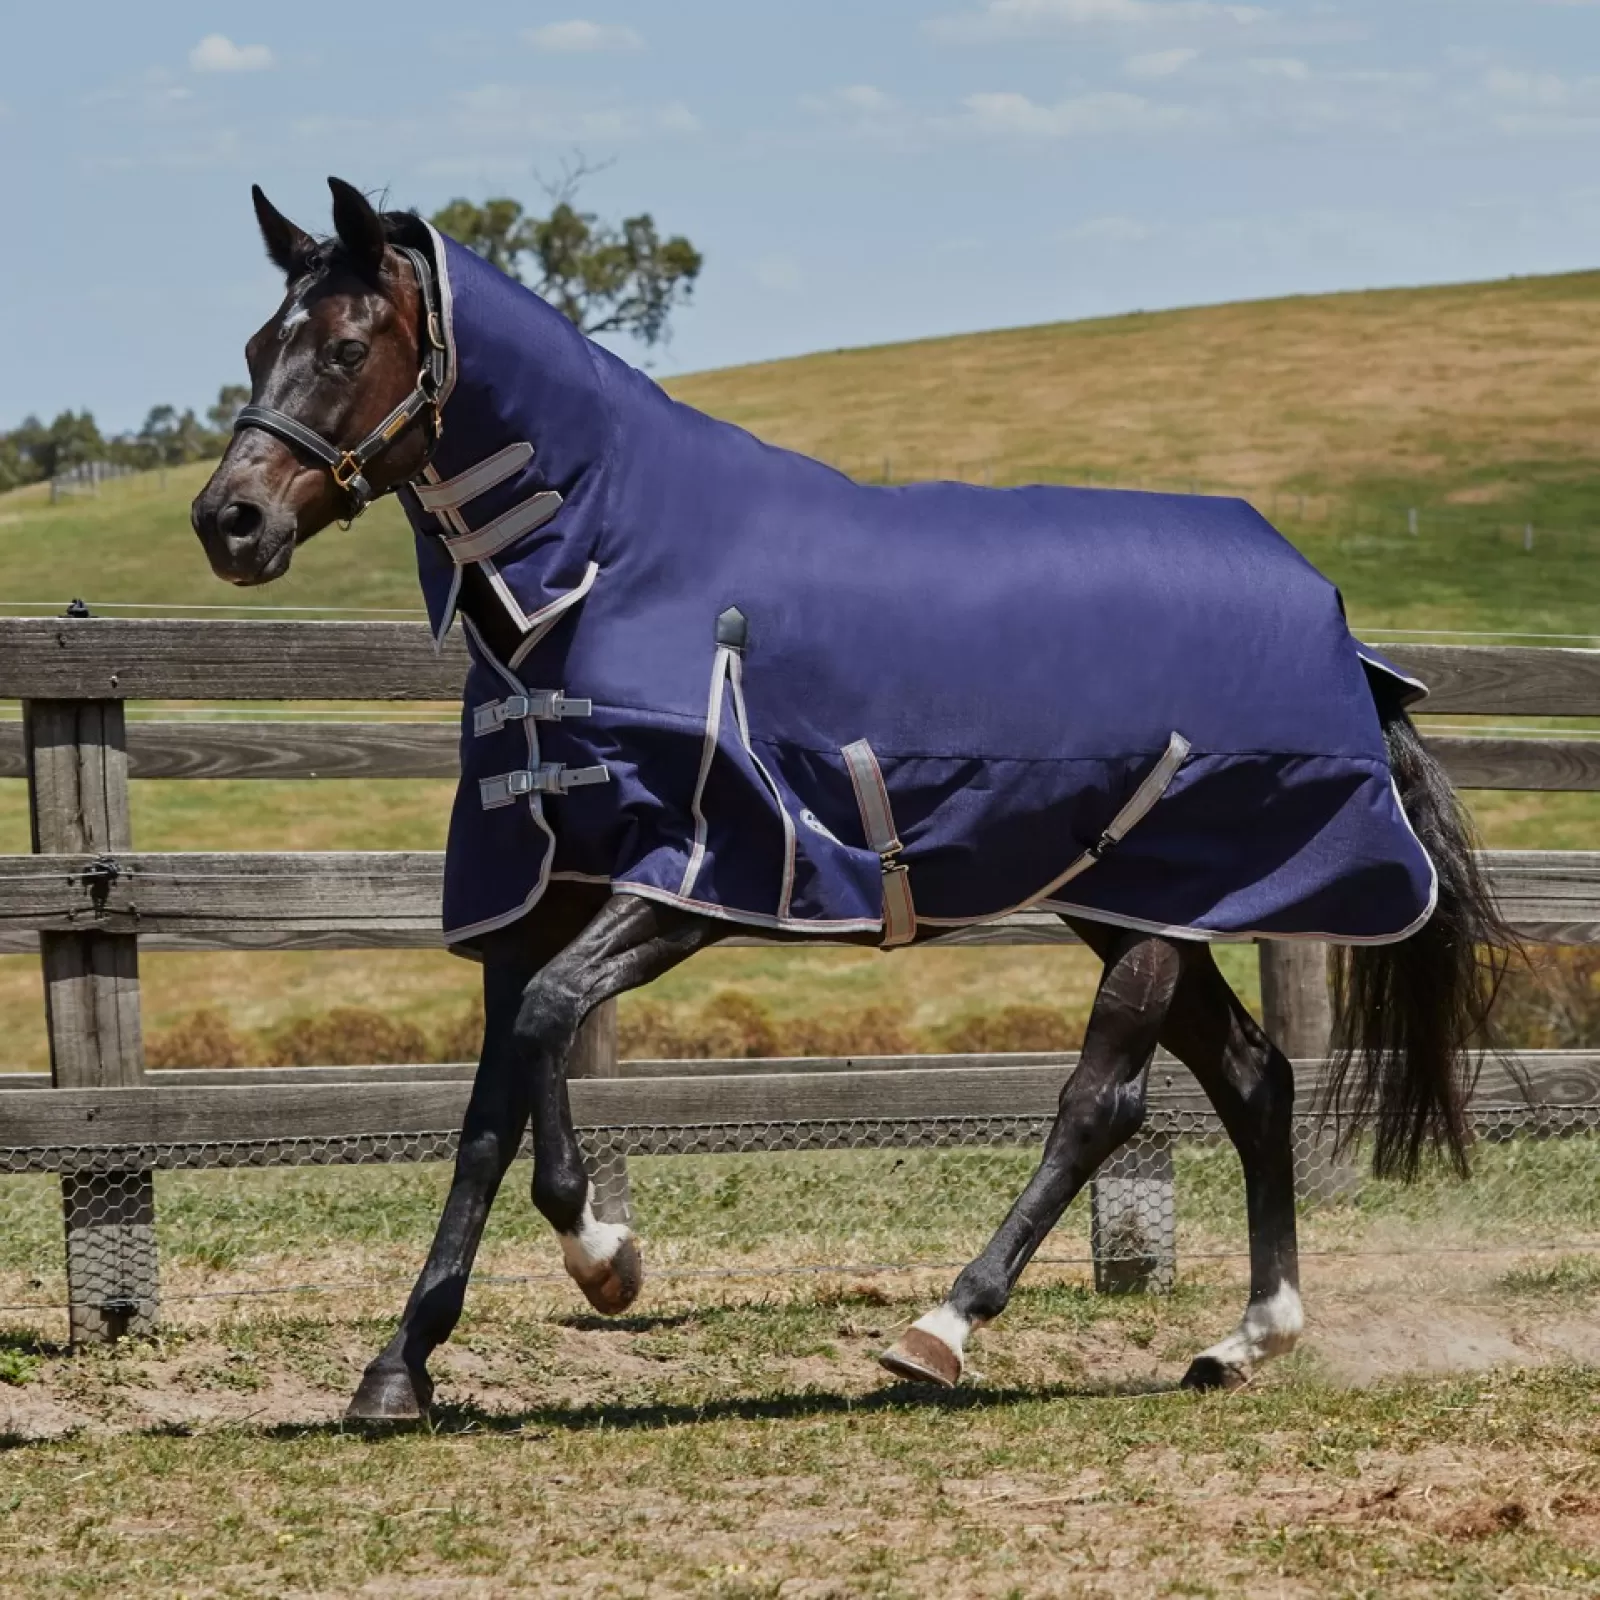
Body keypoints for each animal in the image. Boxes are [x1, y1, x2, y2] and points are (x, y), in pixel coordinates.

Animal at [193, 181, 1504, 1420]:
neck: (605, 567)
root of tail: (1331, 616)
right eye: (258, 343)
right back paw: (1245, 1338)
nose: (229, 521)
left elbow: (547, 1030)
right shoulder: (541, 885)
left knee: (1106, 1100)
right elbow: (496, 1096)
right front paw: (405, 1364)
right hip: (1137, 899)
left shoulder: (703, 874)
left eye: (346, 347)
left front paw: (604, 1257)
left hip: (1167, 907)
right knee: (1251, 1076)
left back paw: (943, 1327)